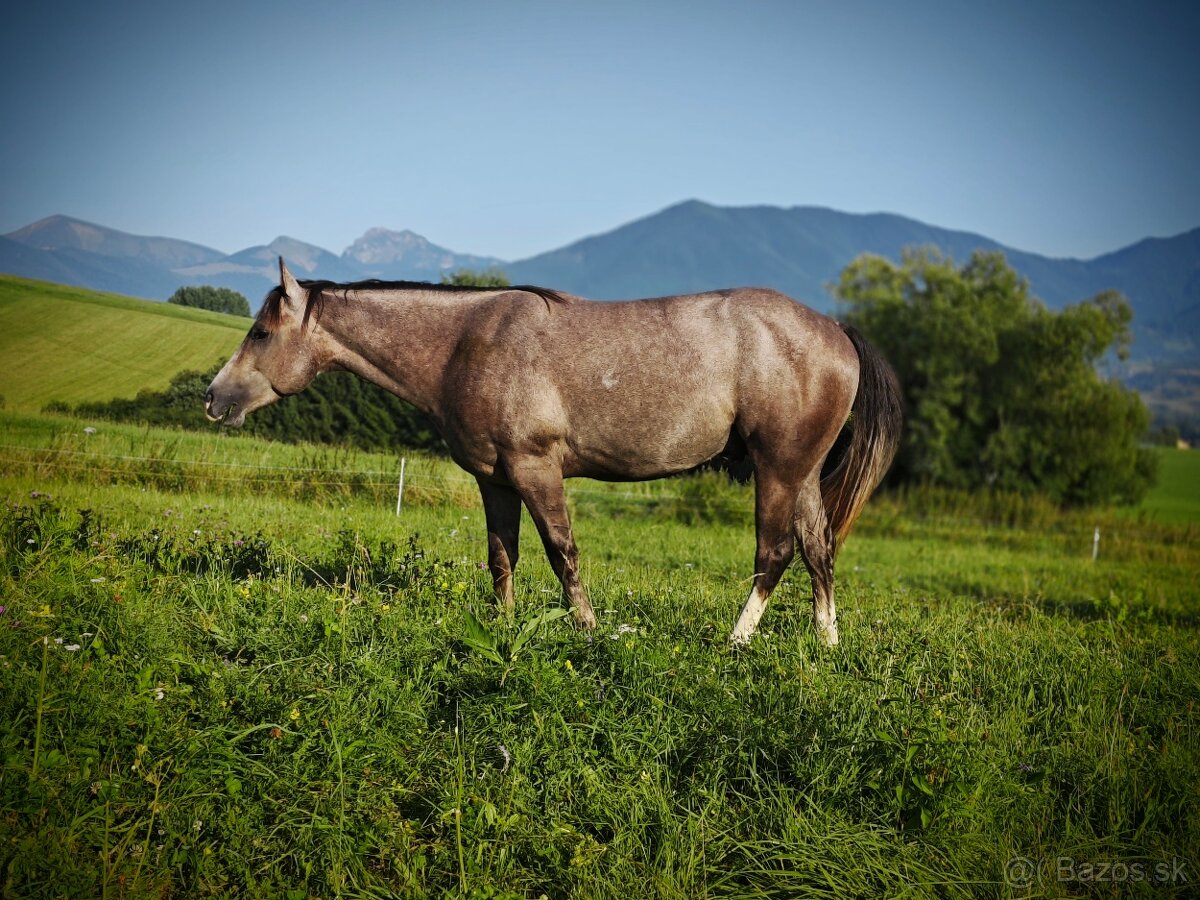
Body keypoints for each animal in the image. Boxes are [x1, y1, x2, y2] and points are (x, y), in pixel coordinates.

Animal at [206, 258, 901, 646]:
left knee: (774, 554)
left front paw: (587, 630)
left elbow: (562, 552)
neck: (466, 343)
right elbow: (503, 557)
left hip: (777, 469)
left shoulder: (536, 468)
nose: (213, 399)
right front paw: (504, 628)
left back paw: (734, 642)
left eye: (261, 332)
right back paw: (828, 647)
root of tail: (836, 330)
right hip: (803, 473)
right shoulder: (495, 480)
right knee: (819, 551)